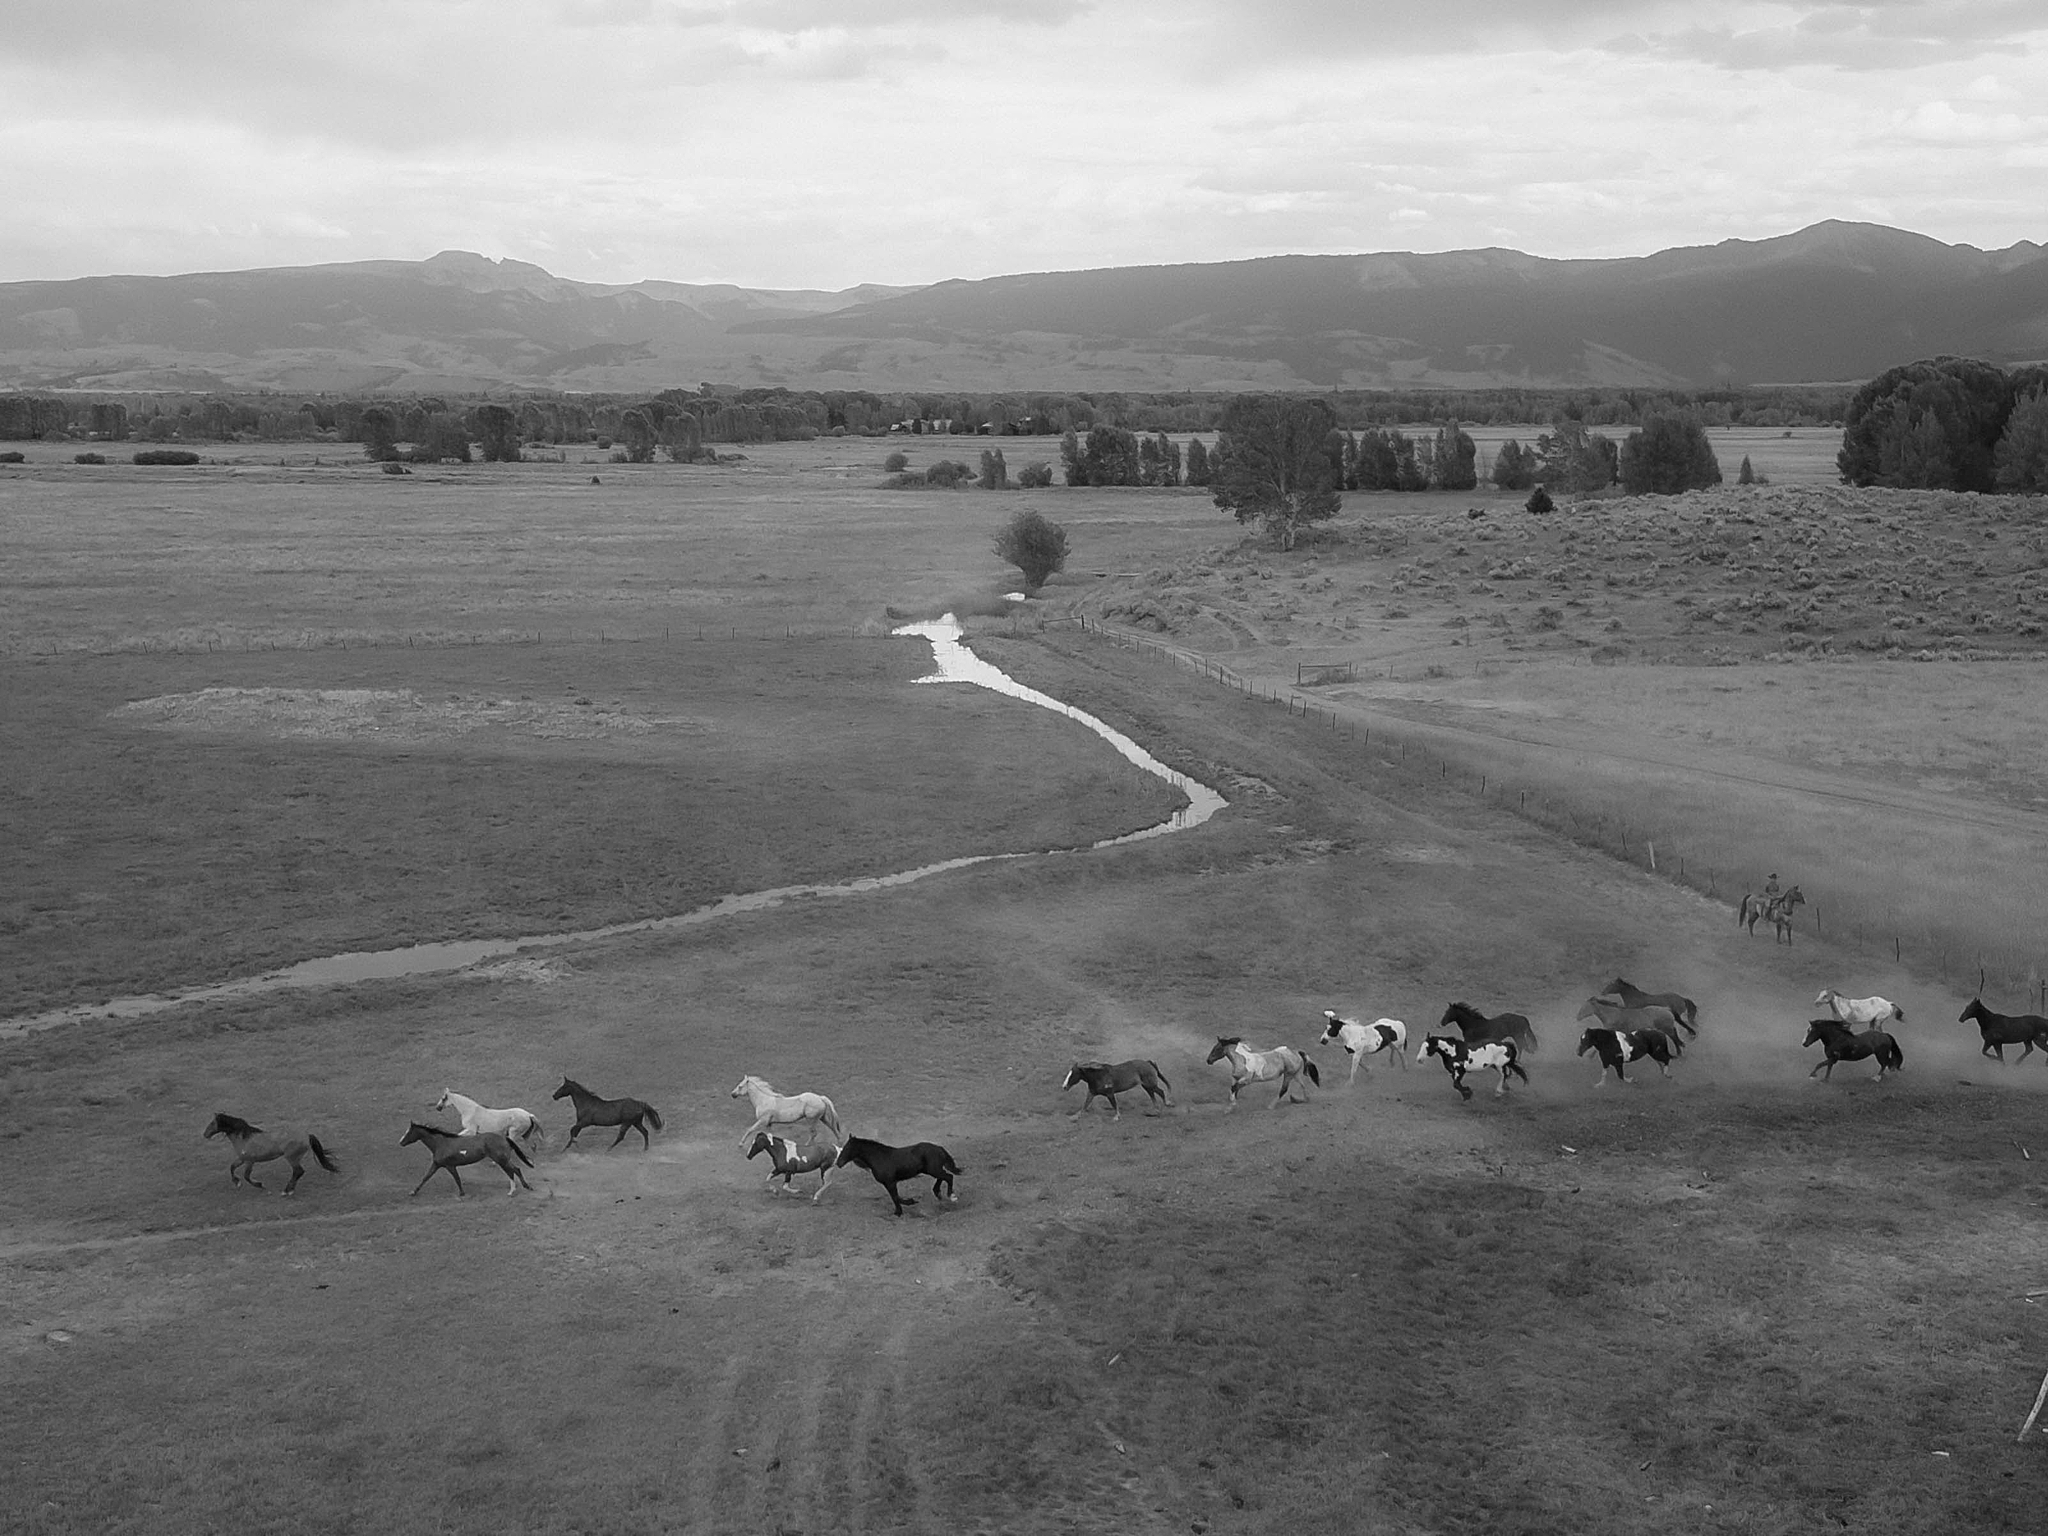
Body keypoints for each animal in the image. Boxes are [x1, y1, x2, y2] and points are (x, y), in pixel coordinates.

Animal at [203, 1113, 339, 1196]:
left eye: (212, 1123)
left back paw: (287, 1191)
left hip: (291, 1158)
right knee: (298, 1172)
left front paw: (260, 1185)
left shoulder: (250, 1161)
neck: (245, 1137)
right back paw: (289, 1190)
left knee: (298, 1171)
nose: (205, 1134)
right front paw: (237, 1183)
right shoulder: (242, 1159)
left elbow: (246, 1176)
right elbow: (232, 1167)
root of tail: (307, 1136)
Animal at [399, 1122, 534, 1196]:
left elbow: (457, 1178)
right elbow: (426, 1177)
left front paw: (462, 1193)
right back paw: (526, 1186)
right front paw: (413, 1192)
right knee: (516, 1169)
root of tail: (505, 1138)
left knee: (511, 1171)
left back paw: (513, 1191)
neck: (441, 1143)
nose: (401, 1142)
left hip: (501, 1160)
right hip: (504, 1160)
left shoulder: (449, 1166)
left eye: (408, 1132)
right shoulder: (437, 1164)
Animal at [825, 1136, 962, 1216]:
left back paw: (952, 1196)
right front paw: (902, 1208)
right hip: (931, 1170)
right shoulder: (889, 1183)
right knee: (943, 1177)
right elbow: (895, 1197)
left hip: (933, 1170)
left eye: (847, 1148)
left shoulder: (890, 1182)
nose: (838, 1163)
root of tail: (939, 1148)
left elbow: (895, 1197)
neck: (879, 1158)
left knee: (948, 1177)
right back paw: (938, 1193)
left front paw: (902, 1209)